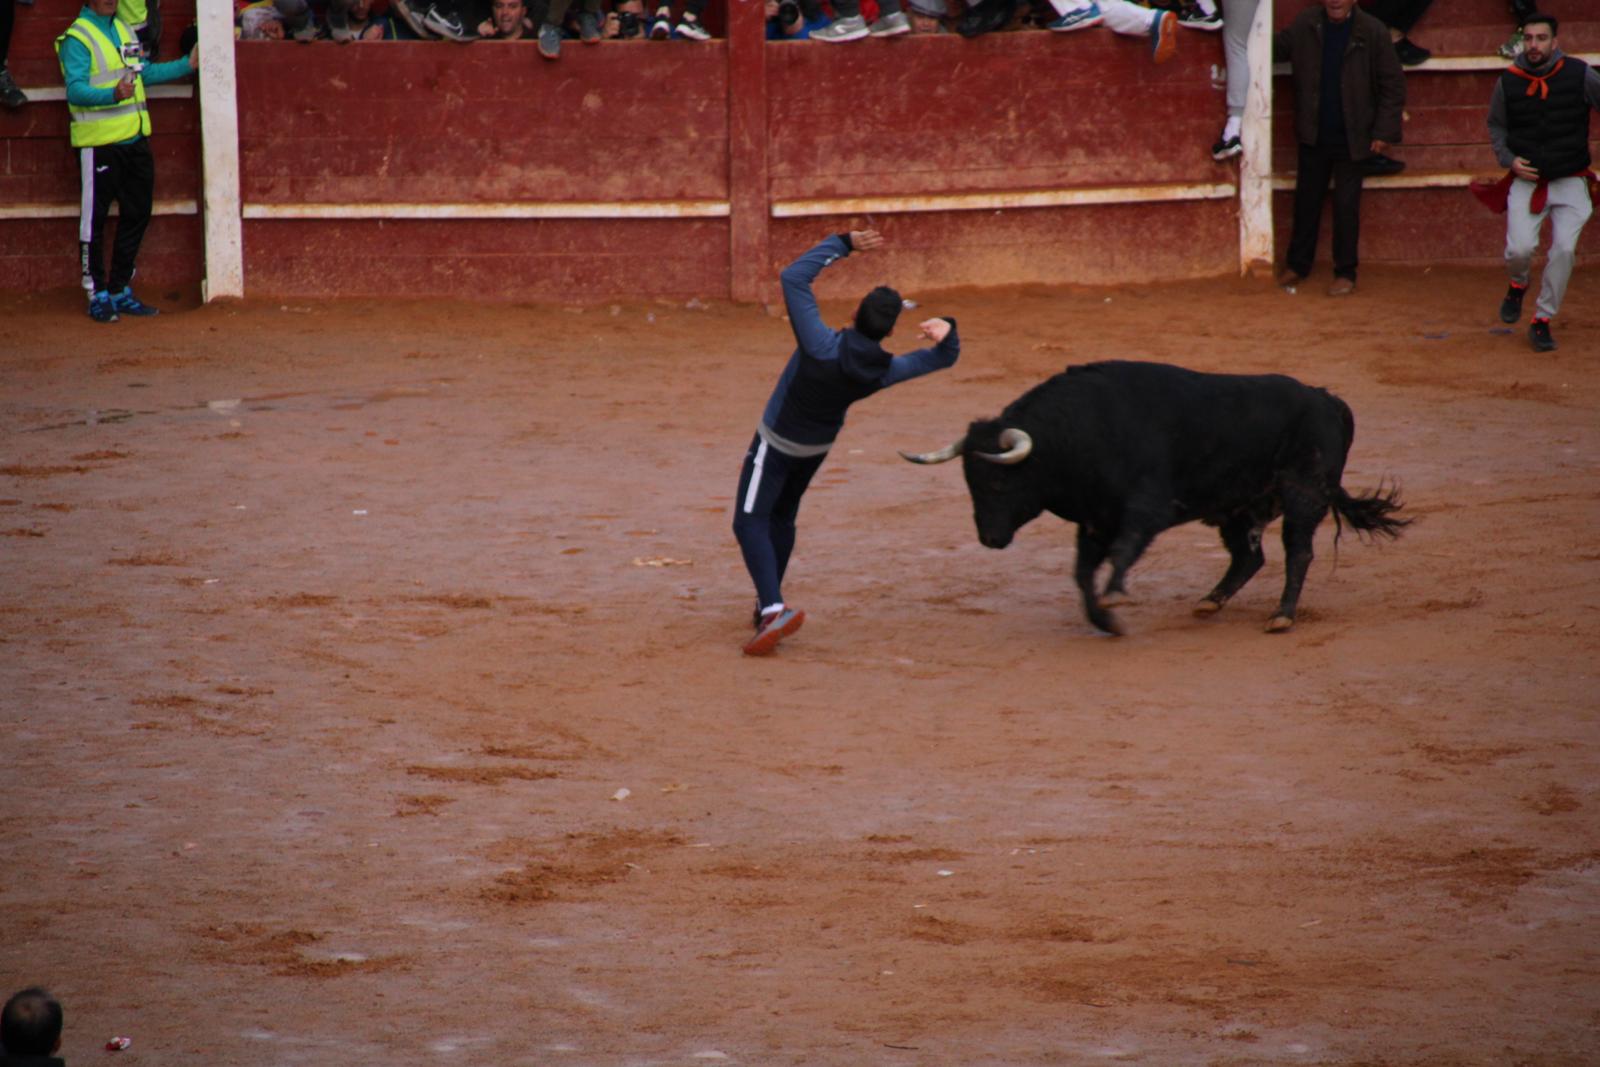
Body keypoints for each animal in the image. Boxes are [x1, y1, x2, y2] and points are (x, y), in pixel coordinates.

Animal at [908, 358, 1408, 633]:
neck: (1075, 434)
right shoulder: (1094, 522)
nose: (989, 539)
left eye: (998, 482)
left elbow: (1124, 551)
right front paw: (1104, 620)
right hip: (1238, 508)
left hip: (1303, 494)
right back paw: (1210, 602)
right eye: (970, 483)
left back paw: (1282, 617)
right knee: (1249, 557)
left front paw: (1113, 598)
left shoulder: (1143, 510)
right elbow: (1081, 574)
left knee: (1297, 552)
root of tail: (1327, 399)